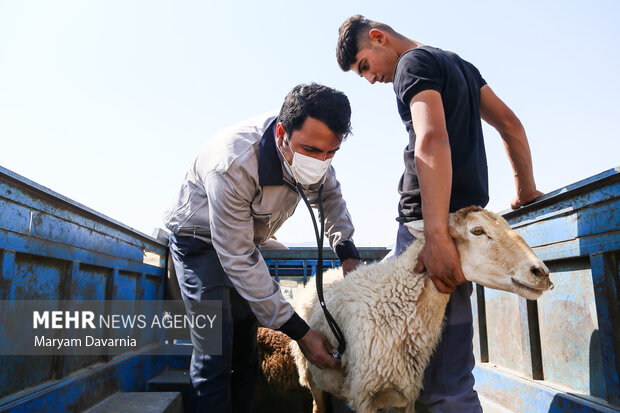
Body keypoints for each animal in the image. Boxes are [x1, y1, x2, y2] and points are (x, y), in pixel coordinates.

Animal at [288, 206, 556, 412]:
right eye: (477, 231)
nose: (541, 272)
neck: (398, 302)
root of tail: (327, 272)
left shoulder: (405, 392)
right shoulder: (364, 394)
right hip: (310, 373)